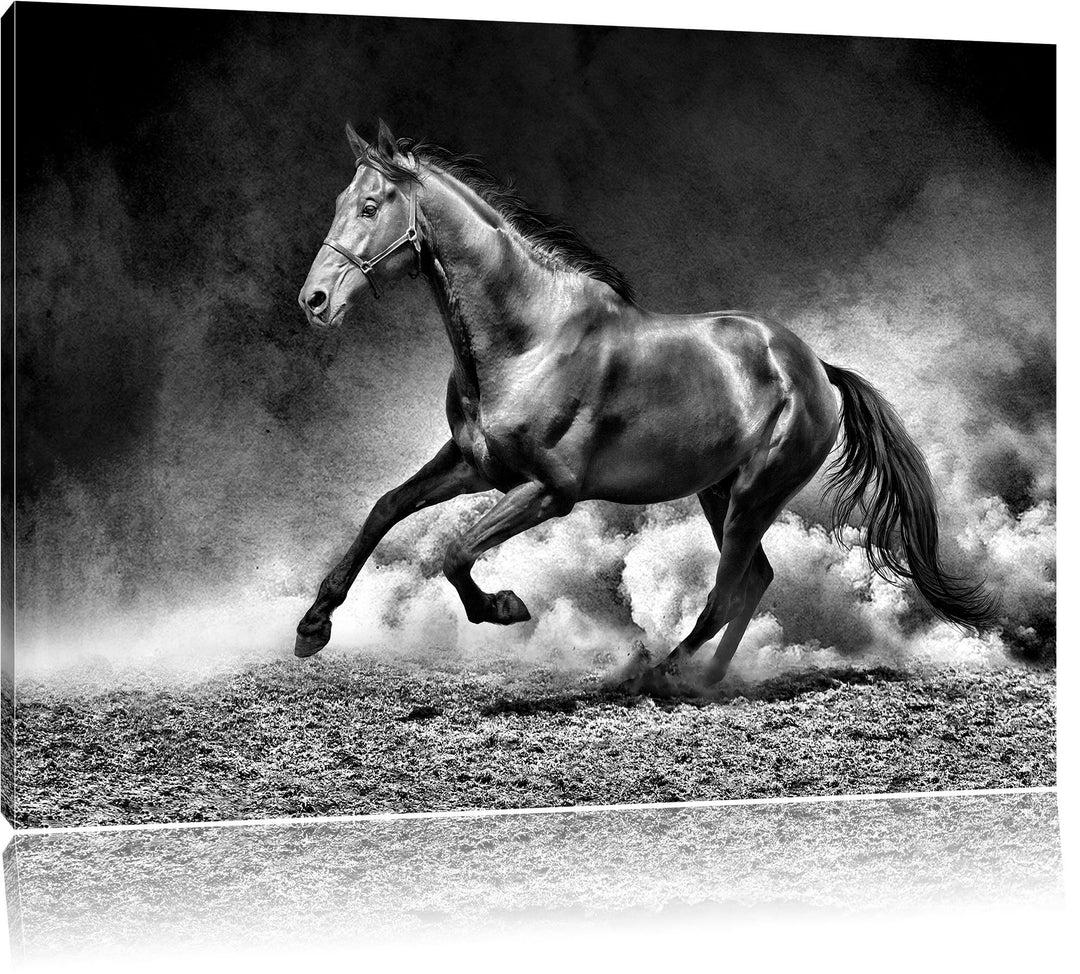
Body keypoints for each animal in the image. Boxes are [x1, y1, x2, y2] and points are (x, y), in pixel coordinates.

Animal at [294, 119, 996, 687]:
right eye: (341, 202)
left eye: (370, 206)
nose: (314, 301)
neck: (527, 340)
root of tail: (817, 370)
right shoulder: (476, 464)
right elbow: (386, 509)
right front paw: (313, 627)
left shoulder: (551, 490)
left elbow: (456, 550)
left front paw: (504, 607)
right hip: (720, 492)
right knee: (754, 584)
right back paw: (705, 679)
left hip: (756, 494)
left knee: (725, 595)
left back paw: (660, 674)